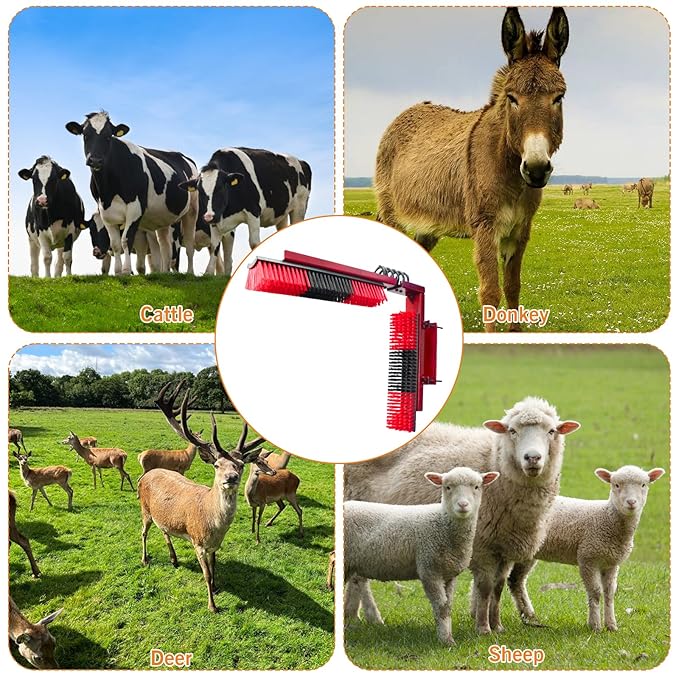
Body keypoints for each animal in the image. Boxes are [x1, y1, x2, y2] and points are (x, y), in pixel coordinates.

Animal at [65, 111, 198, 276]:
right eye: (85, 135)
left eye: (108, 136)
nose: (95, 160)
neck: (109, 190)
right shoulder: (105, 212)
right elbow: (115, 244)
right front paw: (117, 272)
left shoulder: (136, 209)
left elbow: (126, 240)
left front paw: (126, 270)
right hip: (164, 217)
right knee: (165, 245)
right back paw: (164, 273)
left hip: (192, 210)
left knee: (189, 244)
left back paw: (190, 272)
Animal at [180, 147, 312, 276]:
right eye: (200, 191)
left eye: (220, 188)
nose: (208, 217)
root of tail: (301, 161)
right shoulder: (217, 218)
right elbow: (215, 245)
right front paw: (211, 273)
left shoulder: (253, 211)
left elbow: (254, 243)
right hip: (281, 213)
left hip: (300, 207)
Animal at [345, 467, 499, 644]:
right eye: (447, 487)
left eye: (476, 487)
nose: (463, 505)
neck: (442, 524)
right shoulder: (429, 569)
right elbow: (441, 607)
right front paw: (446, 640)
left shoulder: (448, 574)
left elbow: (448, 606)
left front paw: (447, 636)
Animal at [507, 465, 665, 632]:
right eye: (616, 485)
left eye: (644, 485)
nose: (631, 502)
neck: (607, 518)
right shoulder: (588, 558)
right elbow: (595, 592)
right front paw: (595, 625)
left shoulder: (611, 563)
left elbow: (610, 593)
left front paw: (611, 625)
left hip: (527, 552)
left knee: (516, 581)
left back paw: (529, 616)